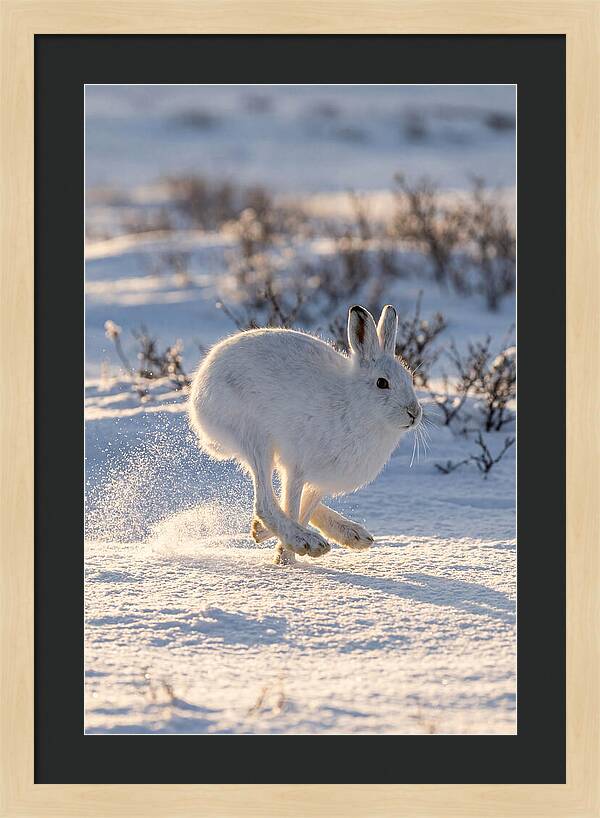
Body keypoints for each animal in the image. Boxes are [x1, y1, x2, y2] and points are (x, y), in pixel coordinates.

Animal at [188, 304, 422, 565]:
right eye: (382, 383)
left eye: (410, 378)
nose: (414, 412)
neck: (354, 405)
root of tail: (199, 389)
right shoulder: (298, 468)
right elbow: (292, 506)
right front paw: (287, 558)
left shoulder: (321, 480)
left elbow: (304, 508)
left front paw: (280, 550)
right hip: (255, 438)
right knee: (265, 502)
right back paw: (305, 540)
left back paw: (351, 534)